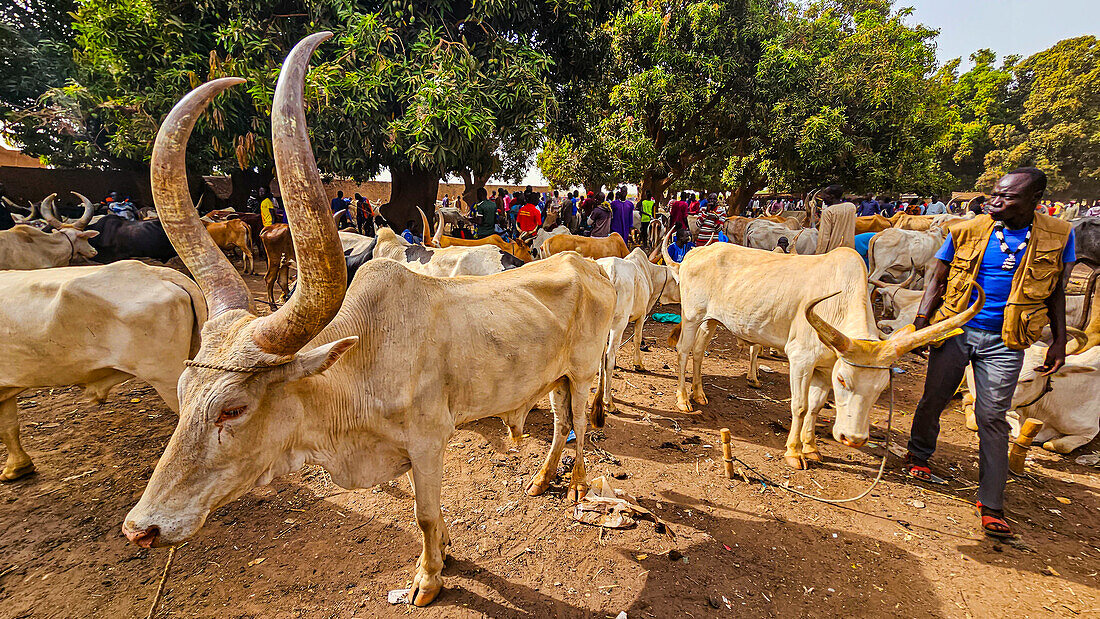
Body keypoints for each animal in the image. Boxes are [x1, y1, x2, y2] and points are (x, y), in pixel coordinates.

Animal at [124, 31, 620, 606]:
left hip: (581, 371)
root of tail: (587, 264)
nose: (142, 528)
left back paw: (578, 485)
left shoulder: (429, 443)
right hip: (555, 376)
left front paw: (428, 579)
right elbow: (426, 514)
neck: (357, 369)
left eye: (234, 409)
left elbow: (423, 514)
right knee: (562, 422)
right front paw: (444, 551)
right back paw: (542, 479)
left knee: (579, 423)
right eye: (182, 395)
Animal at [594, 247, 677, 415]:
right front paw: (638, 364)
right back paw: (609, 402)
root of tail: (608, 272)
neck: (649, 273)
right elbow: (637, 339)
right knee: (608, 356)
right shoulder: (641, 315)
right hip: (619, 322)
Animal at [660, 245, 981, 468]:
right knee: (684, 351)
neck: (840, 302)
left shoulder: (826, 365)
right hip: (692, 315)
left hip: (711, 320)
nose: (853, 439)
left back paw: (699, 393)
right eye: (844, 380)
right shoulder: (801, 359)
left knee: (699, 351)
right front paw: (793, 452)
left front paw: (812, 448)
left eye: (882, 388)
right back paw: (683, 399)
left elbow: (815, 407)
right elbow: (800, 406)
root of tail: (695, 252)